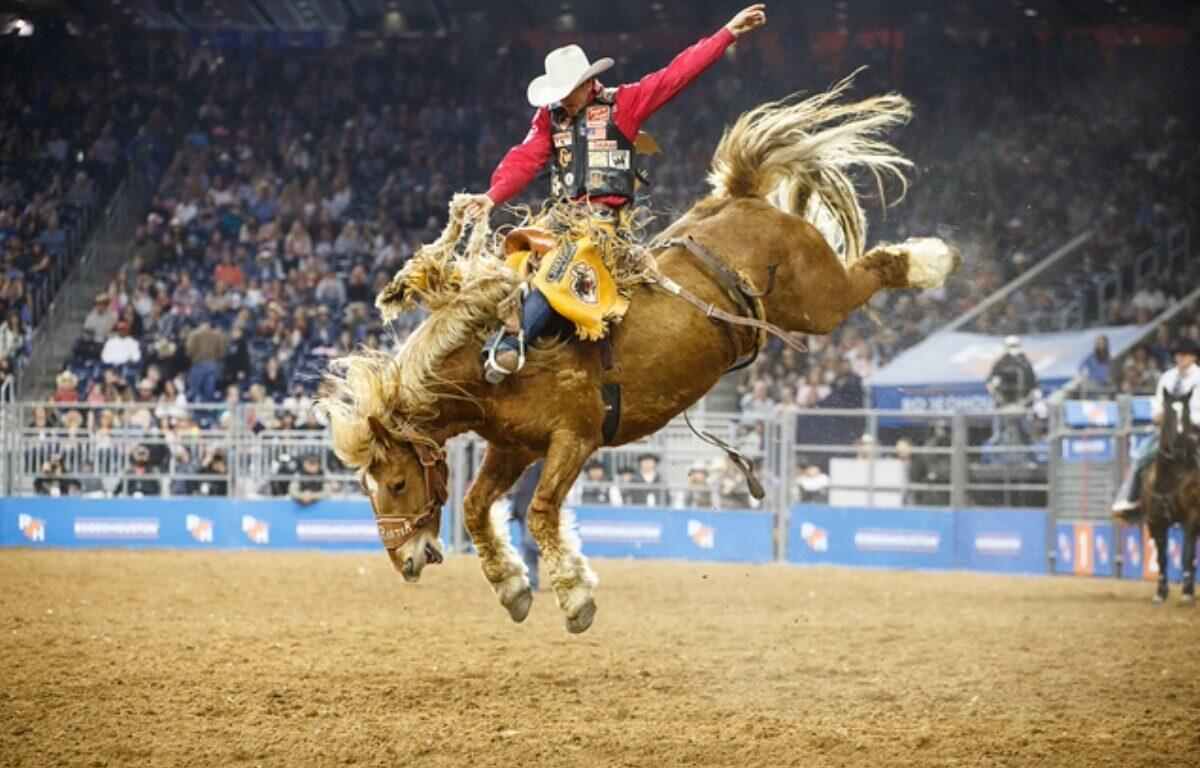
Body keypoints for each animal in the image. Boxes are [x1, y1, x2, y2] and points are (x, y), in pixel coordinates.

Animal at [316, 76, 961, 633]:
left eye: (397, 483)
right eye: (368, 489)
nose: (406, 560)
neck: (490, 361)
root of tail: (740, 198)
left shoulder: (574, 439)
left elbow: (542, 512)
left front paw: (574, 597)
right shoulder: (513, 446)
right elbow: (477, 508)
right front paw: (513, 587)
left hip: (818, 301)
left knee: (873, 270)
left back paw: (935, 258)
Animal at [1119, 389, 1200, 604]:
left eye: (1187, 414)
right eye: (1169, 414)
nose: (1179, 447)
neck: (1170, 478)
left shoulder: (1192, 517)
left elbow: (1186, 554)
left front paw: (1187, 592)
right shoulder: (1155, 521)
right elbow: (1162, 556)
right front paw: (1161, 592)